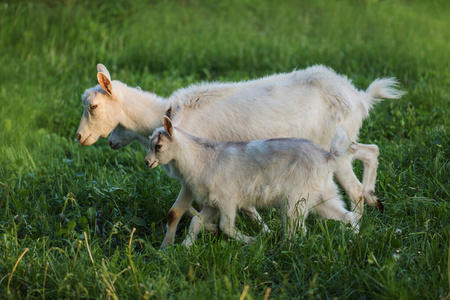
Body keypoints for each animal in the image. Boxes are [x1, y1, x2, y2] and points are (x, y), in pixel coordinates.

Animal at [146, 117, 356, 246]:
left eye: (158, 146)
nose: (147, 162)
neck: (204, 159)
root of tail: (328, 156)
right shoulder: (213, 203)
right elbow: (195, 222)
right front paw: (185, 248)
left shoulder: (227, 200)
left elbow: (226, 227)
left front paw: (254, 241)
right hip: (322, 195)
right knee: (347, 216)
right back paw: (353, 239)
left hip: (295, 200)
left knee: (296, 228)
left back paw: (285, 247)